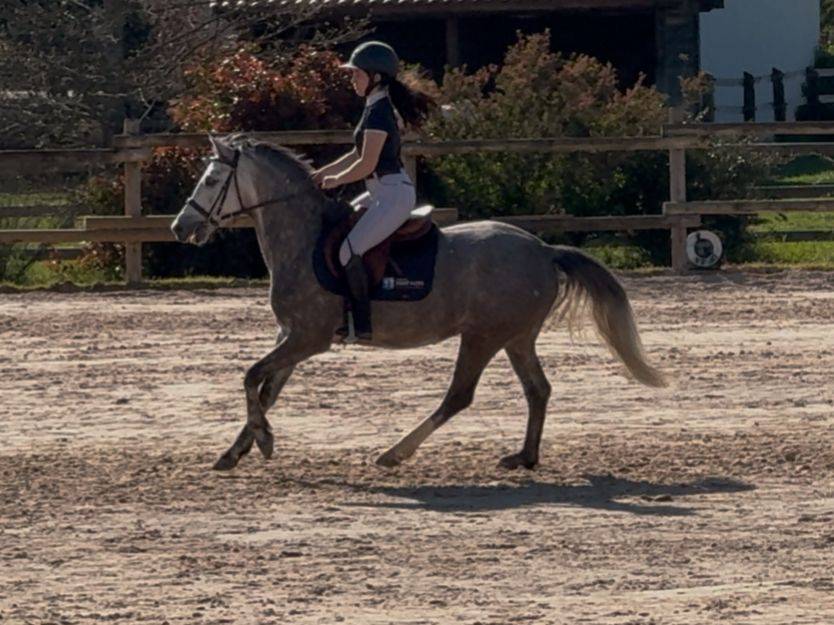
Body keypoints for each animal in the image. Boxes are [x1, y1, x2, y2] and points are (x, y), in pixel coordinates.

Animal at [171, 134, 666, 472]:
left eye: (211, 179)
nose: (180, 227)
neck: (302, 237)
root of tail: (543, 250)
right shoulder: (291, 335)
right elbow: (266, 389)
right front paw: (236, 451)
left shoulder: (309, 338)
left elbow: (251, 376)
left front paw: (263, 441)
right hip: (516, 336)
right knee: (537, 390)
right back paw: (524, 456)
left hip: (482, 337)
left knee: (460, 396)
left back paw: (394, 452)